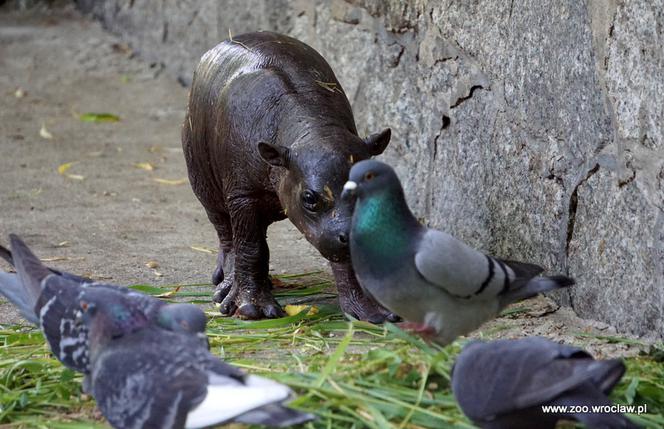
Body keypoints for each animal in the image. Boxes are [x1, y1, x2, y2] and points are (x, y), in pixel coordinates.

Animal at [182, 30, 396, 320]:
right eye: (309, 198)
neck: (312, 131)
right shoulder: (242, 195)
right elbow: (250, 247)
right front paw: (253, 310)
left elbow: (345, 259)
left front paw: (374, 314)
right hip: (203, 181)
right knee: (225, 231)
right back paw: (224, 287)